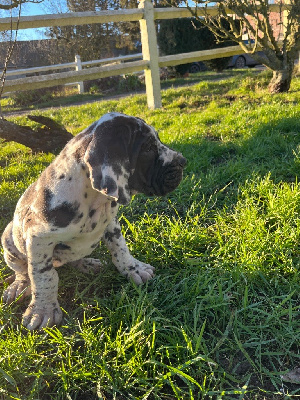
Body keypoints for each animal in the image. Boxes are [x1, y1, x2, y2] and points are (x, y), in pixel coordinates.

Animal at [1, 111, 186, 330]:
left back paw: (87, 264)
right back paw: (19, 286)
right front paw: (43, 310)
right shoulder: (38, 238)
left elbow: (120, 249)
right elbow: (43, 276)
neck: (93, 198)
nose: (183, 161)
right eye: (148, 148)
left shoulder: (111, 223)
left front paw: (134, 268)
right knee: (23, 271)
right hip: (8, 239)